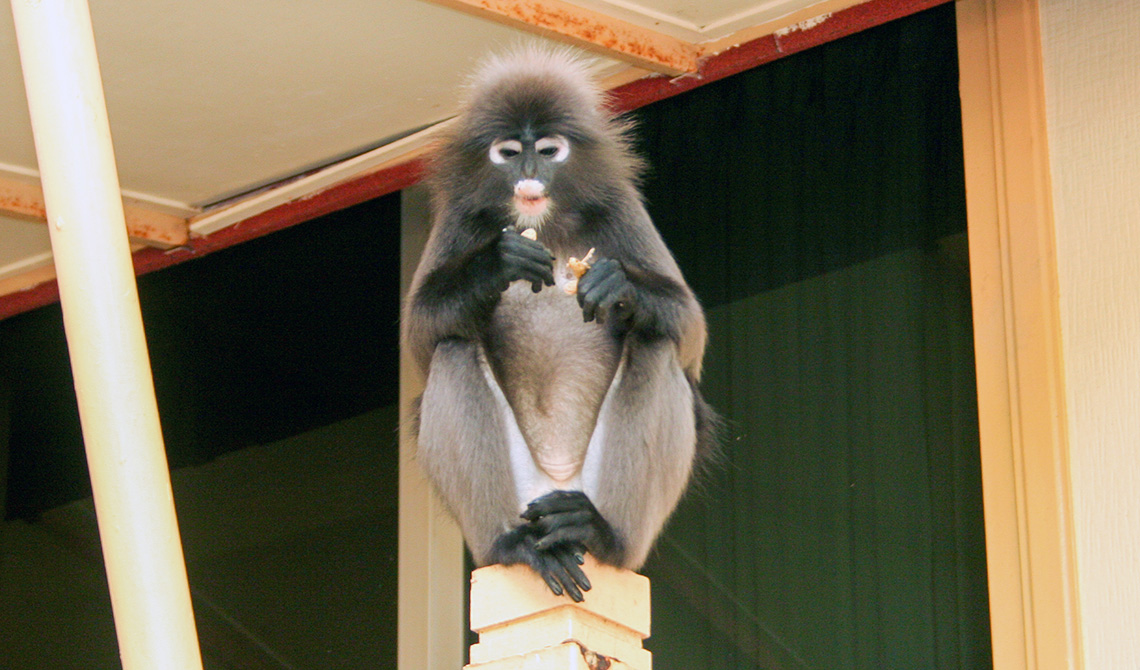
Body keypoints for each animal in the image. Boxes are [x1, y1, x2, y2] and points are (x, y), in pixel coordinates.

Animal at [403, 45, 711, 601]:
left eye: (547, 151)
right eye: (509, 153)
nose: (529, 172)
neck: (543, 223)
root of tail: (556, 484)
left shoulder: (619, 206)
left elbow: (691, 331)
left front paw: (617, 286)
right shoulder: (460, 216)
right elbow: (419, 335)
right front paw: (495, 264)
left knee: (656, 342)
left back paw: (599, 531)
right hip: (520, 494)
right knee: (451, 347)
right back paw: (515, 543)